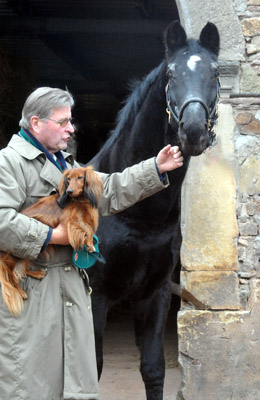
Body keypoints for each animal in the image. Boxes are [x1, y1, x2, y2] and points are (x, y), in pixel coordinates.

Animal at [89, 20, 219, 398]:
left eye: (216, 72)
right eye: (172, 73)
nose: (193, 131)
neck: (136, 216)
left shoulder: (155, 294)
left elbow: (153, 368)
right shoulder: (96, 295)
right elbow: (92, 368)